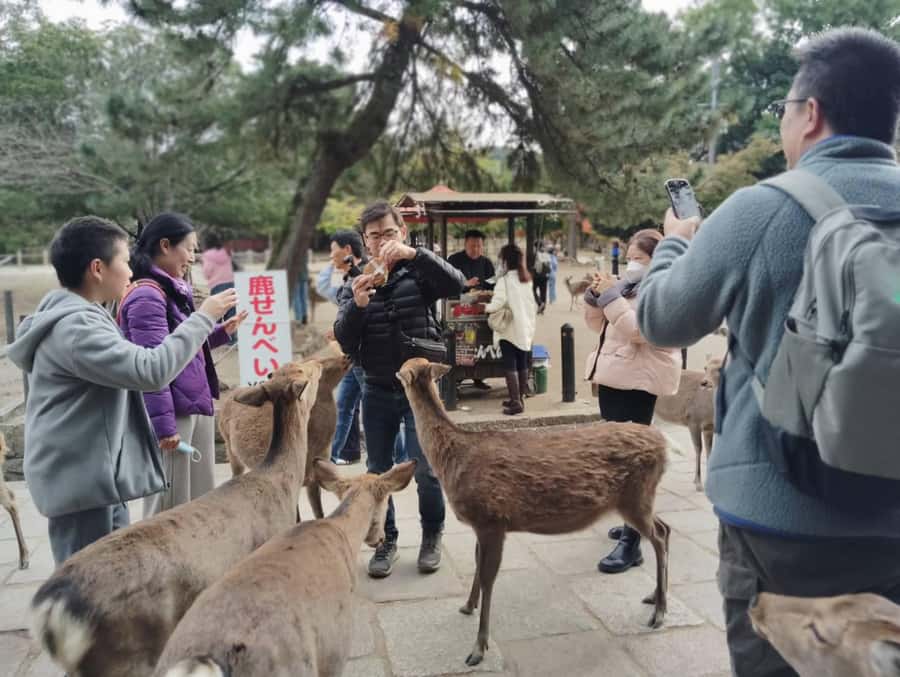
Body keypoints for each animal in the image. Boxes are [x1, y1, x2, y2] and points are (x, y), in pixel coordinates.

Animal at [29, 359, 322, 677]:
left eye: (294, 367)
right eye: (304, 371)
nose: (318, 362)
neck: (280, 483)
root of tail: (51, 609)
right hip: (128, 653)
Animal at [153, 459, 416, 677]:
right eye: (387, 504)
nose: (381, 539)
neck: (342, 533)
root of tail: (209, 658)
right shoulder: (334, 649)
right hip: (295, 666)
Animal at [396, 358, 671, 667]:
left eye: (403, 367)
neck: (453, 461)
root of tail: (663, 445)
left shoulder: (492, 519)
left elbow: (489, 578)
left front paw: (478, 648)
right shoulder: (481, 524)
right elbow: (477, 565)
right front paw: (467, 606)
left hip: (635, 497)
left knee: (660, 536)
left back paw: (659, 613)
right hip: (639, 499)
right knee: (665, 528)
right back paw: (654, 597)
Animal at [653, 355, 723, 491]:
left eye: (719, 368)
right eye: (705, 367)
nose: (704, 382)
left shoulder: (709, 426)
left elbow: (709, 451)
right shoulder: (693, 419)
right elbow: (698, 449)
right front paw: (698, 483)